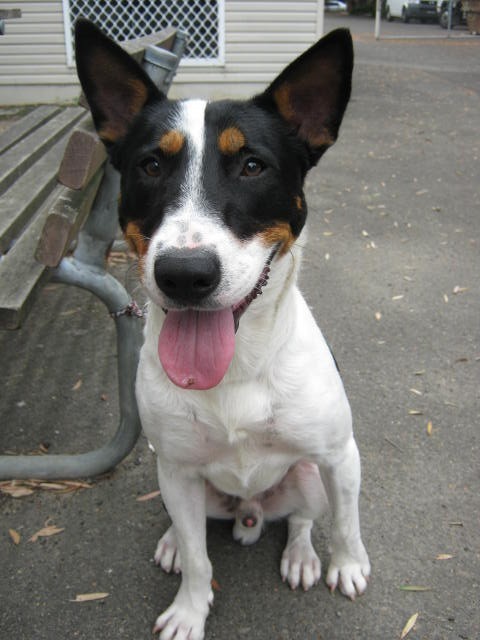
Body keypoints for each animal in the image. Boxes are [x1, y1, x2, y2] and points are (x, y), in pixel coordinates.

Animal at [75, 19, 370, 639]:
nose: (185, 275)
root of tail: (250, 510)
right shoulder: (178, 470)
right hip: (177, 479)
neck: (236, 371)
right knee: (189, 527)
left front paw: (349, 565)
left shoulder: (339, 456)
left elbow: (346, 521)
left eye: (252, 165)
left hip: (307, 475)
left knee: (304, 518)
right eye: (151, 166)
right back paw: (170, 541)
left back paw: (303, 556)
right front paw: (190, 610)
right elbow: (197, 558)